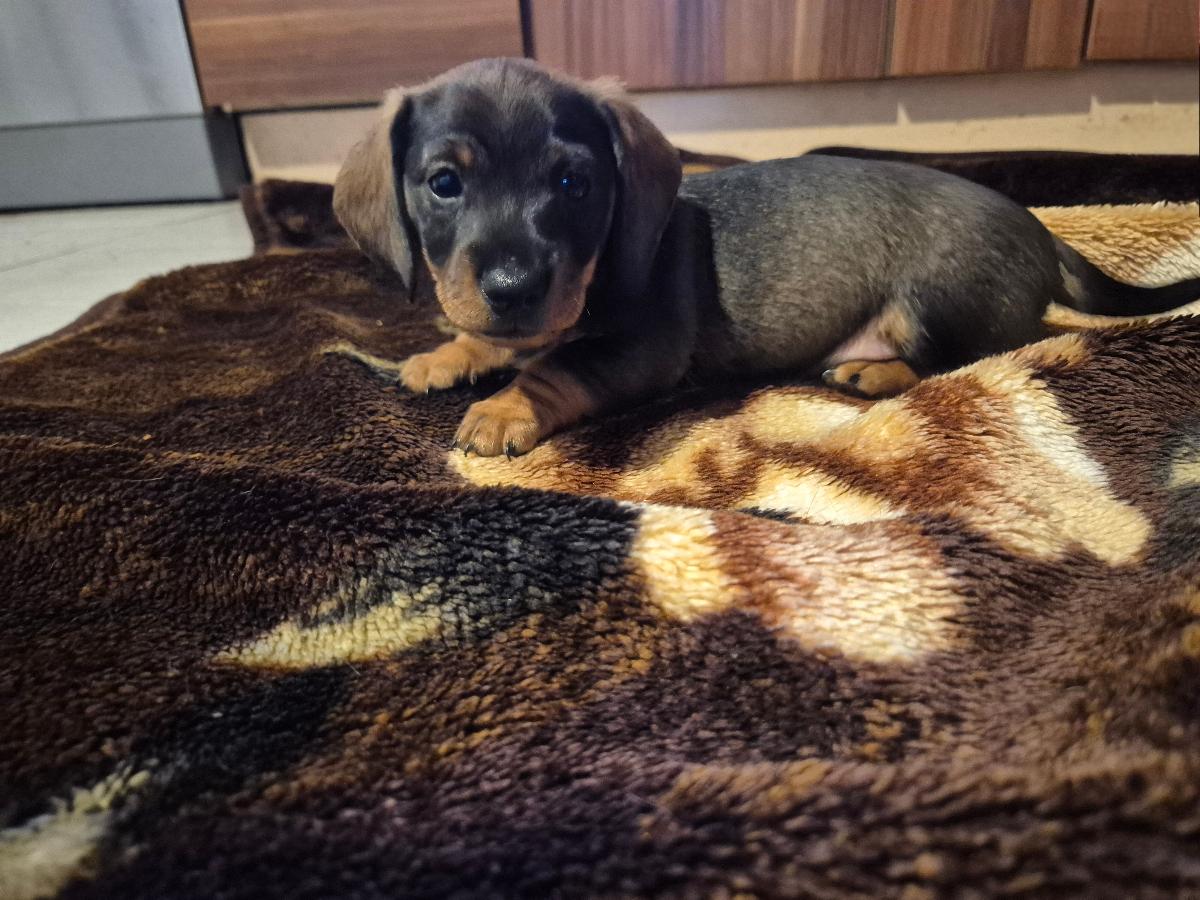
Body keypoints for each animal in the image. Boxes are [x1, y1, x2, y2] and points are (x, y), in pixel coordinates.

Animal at [334, 58, 1199, 457]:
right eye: (444, 183)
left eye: (573, 184)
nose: (515, 288)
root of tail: (1043, 232)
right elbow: (494, 337)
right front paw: (447, 354)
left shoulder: (643, 349)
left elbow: (556, 367)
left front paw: (504, 407)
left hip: (940, 300)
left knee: (978, 352)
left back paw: (876, 371)